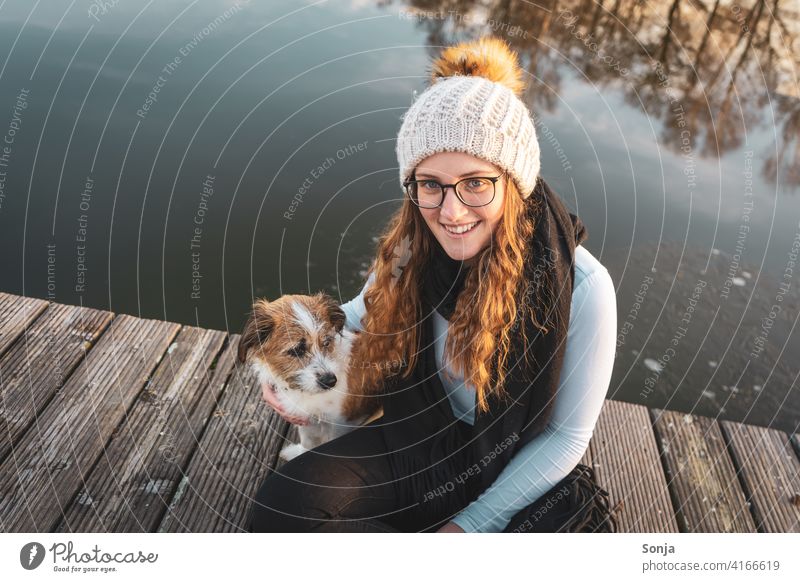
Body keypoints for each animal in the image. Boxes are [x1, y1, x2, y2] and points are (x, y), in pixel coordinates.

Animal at [238, 294, 382, 464]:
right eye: (296, 350)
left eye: (326, 342)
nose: (330, 381)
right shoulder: (304, 417)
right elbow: (308, 441)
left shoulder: (338, 422)